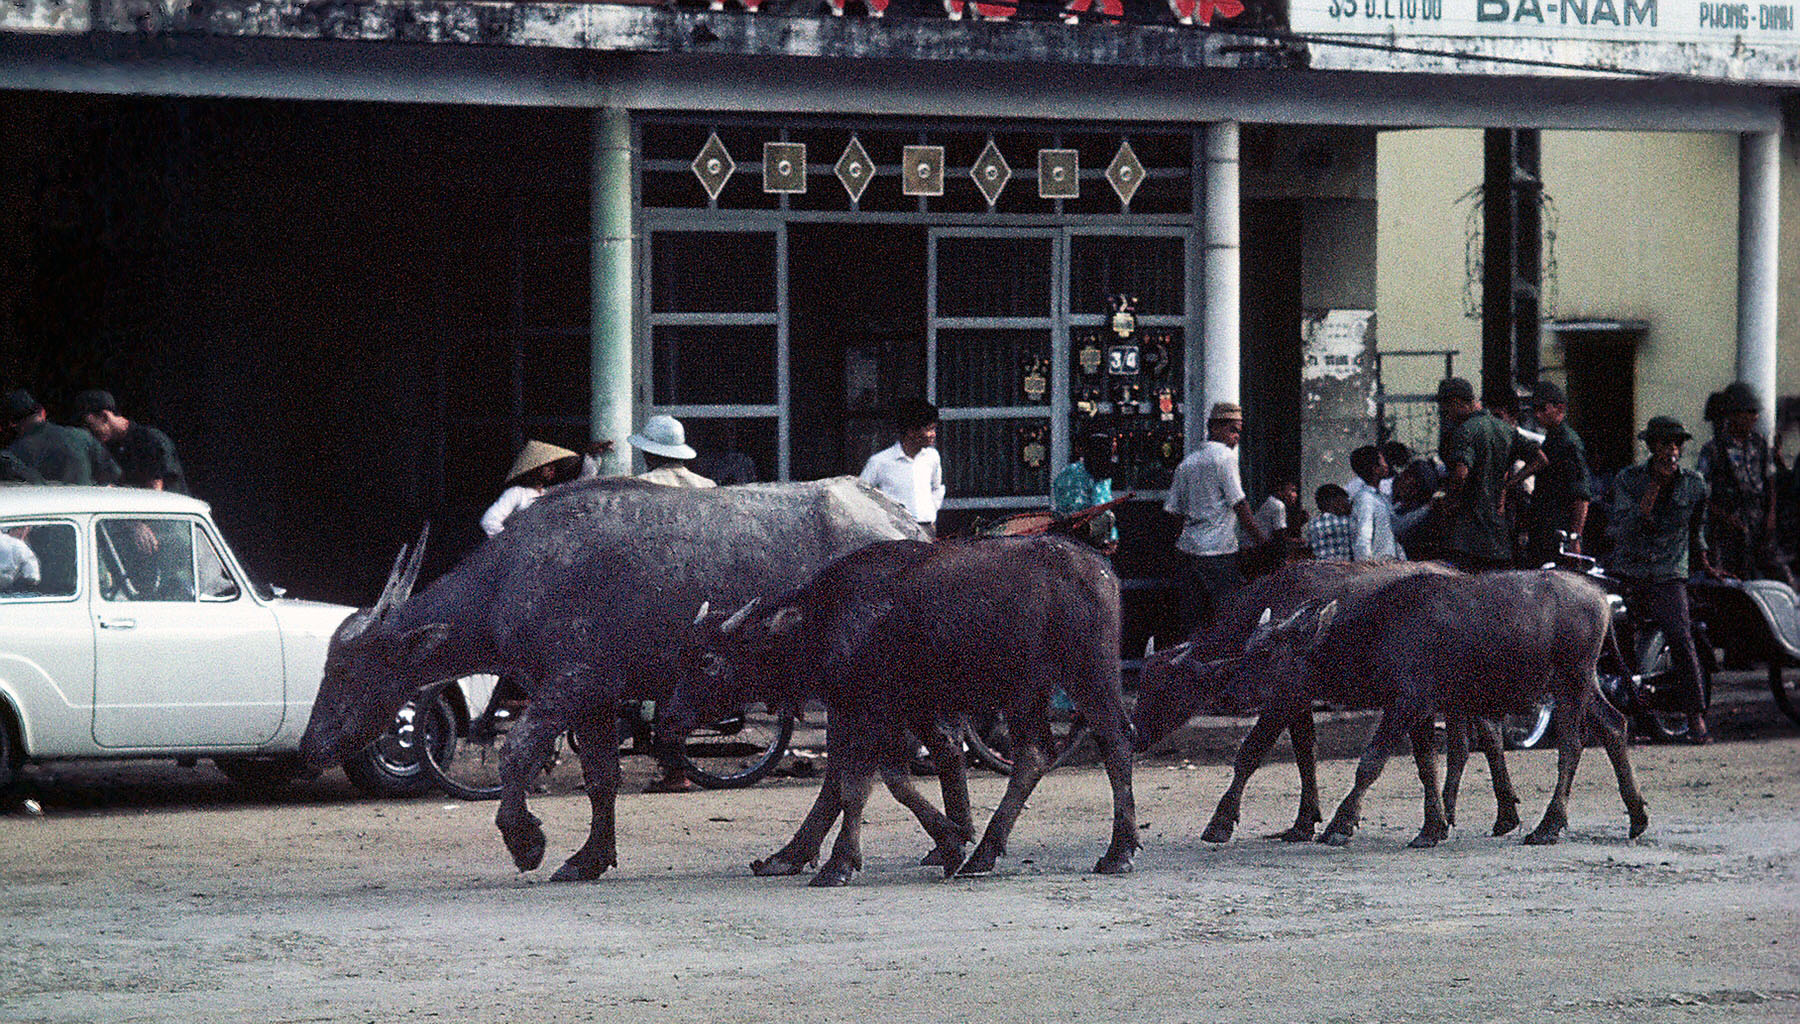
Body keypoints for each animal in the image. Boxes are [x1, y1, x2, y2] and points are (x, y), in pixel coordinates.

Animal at [295, 475, 928, 881]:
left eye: (346, 668)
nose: (310, 746)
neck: (509, 581)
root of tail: (906, 522)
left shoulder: (571, 684)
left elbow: (515, 750)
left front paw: (527, 842)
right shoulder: (595, 701)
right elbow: (601, 778)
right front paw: (588, 857)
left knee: (851, 765)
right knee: (845, 767)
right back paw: (792, 854)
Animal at [662, 536, 1137, 885]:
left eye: (708, 661)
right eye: (682, 655)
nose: (668, 719)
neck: (823, 621)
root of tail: (1102, 570)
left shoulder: (871, 710)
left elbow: (858, 786)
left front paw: (840, 864)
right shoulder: (855, 709)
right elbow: (852, 782)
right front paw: (790, 855)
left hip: (1088, 676)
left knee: (1115, 745)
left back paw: (1118, 851)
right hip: (1026, 692)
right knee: (1035, 756)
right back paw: (983, 854)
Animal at [1137, 557, 1519, 838]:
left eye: (1163, 690)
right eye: (1141, 685)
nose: (1136, 735)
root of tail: (1463, 575)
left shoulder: (1282, 699)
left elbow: (1250, 754)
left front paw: (1220, 822)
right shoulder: (1299, 700)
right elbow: (1306, 755)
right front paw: (1303, 823)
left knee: (1486, 739)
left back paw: (1501, 815)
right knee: (1469, 744)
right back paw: (1469, 813)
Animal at [1252, 568, 1648, 845]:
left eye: (1268, 652)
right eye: (1252, 646)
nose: (1243, 693)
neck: (1381, 630)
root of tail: (1602, 598)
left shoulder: (1406, 703)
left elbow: (1370, 764)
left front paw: (1339, 824)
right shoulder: (1421, 711)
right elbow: (1428, 766)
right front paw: (1433, 827)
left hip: (1572, 683)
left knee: (1571, 746)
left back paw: (1548, 826)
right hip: (1582, 684)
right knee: (1614, 726)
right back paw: (1636, 816)